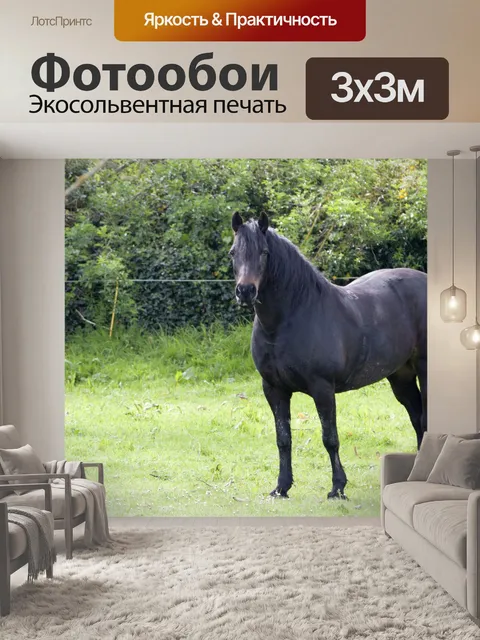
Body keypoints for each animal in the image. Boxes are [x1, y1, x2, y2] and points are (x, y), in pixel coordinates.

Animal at [229, 212, 427, 500]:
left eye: (264, 253)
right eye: (233, 252)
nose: (245, 291)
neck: (289, 319)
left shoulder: (322, 388)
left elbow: (329, 438)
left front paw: (337, 487)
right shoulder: (274, 389)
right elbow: (283, 438)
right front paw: (282, 487)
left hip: (424, 369)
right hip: (400, 376)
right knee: (416, 417)